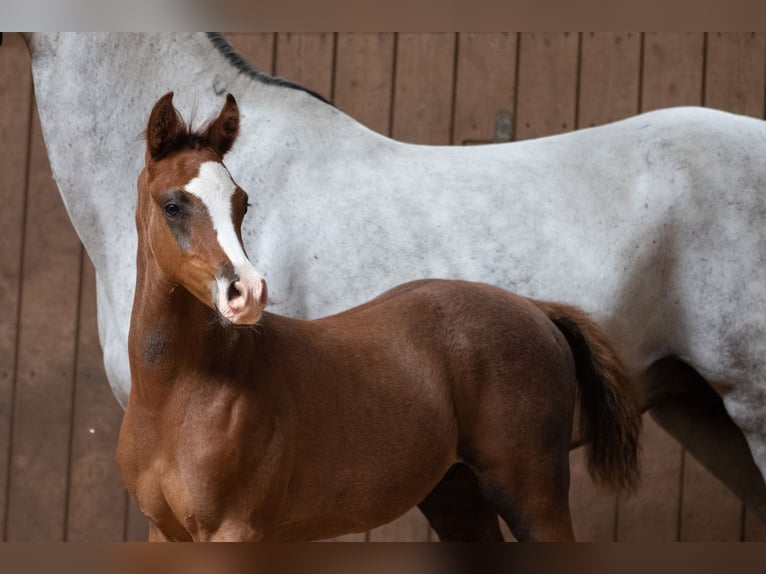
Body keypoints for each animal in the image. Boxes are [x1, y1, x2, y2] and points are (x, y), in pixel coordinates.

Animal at [118, 94, 640, 544]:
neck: (178, 393)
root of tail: (537, 309)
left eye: (242, 202)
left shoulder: (234, 530)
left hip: (533, 496)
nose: (247, 293)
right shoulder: (165, 532)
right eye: (172, 205)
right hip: (456, 495)